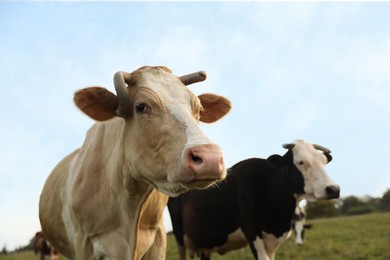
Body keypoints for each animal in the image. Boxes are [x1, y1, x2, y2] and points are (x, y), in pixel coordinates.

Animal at [169, 140, 340, 260]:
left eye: (324, 162)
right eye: (300, 162)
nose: (334, 189)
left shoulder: (272, 241)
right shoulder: (252, 232)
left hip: (205, 244)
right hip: (179, 237)